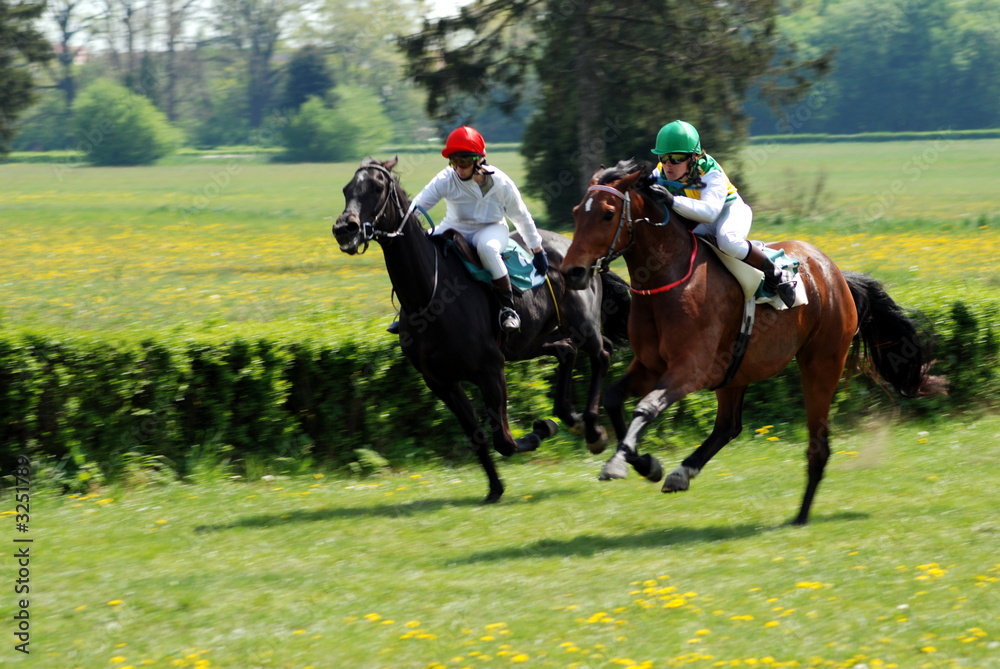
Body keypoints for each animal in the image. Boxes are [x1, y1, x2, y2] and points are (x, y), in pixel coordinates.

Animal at [336, 157, 632, 500]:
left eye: (376, 187)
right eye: (347, 189)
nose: (344, 228)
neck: (429, 297)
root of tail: (579, 251)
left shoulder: (490, 369)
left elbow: (504, 439)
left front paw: (540, 430)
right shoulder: (441, 381)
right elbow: (476, 434)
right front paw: (495, 488)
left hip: (583, 326)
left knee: (602, 354)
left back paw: (594, 430)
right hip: (531, 341)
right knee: (567, 351)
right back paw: (572, 417)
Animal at [564, 159, 944, 524]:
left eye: (608, 213)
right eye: (576, 211)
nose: (572, 272)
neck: (665, 279)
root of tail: (836, 274)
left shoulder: (689, 370)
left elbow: (646, 407)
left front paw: (618, 464)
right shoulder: (650, 365)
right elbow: (614, 398)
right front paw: (644, 463)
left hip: (821, 364)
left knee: (817, 444)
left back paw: (801, 516)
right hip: (735, 370)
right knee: (728, 427)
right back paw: (682, 473)